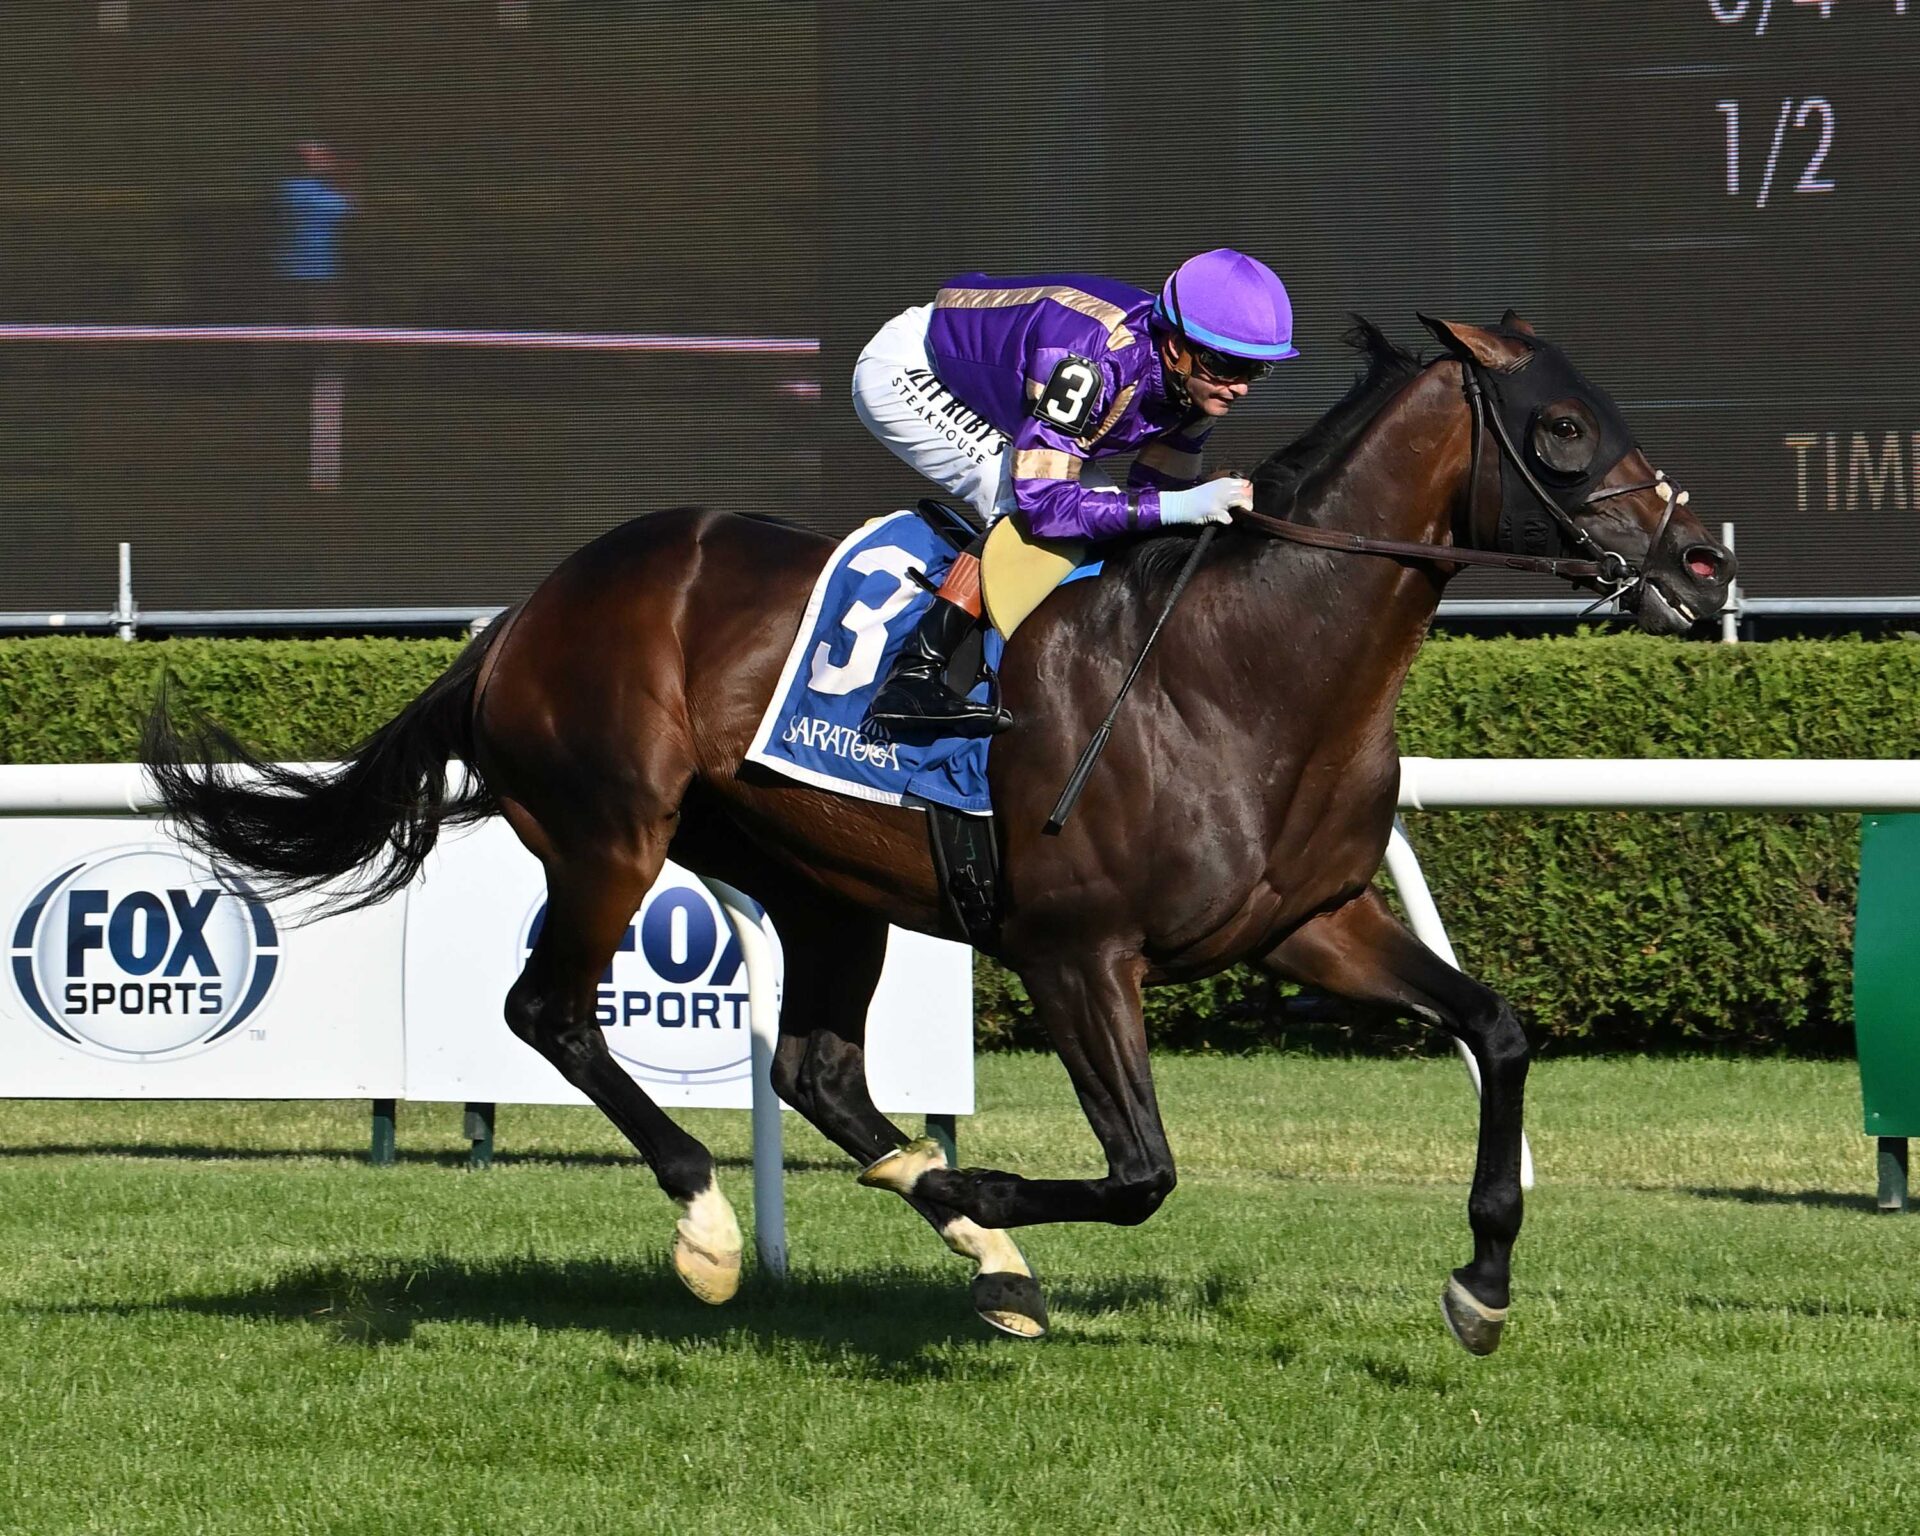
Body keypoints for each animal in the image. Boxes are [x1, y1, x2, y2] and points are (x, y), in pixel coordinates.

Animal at [147, 313, 1734, 1355]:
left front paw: (1483, 1281)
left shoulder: (1308, 922)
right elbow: (1145, 1173)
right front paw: (972, 1178)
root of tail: (523, 614)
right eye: (1565, 430)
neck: (1241, 664)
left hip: (818, 880)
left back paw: (980, 1247)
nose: (1703, 561)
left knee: (814, 1067)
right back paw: (721, 1227)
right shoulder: (1076, 949)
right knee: (551, 1010)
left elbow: (1500, 1031)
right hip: (611, 829)